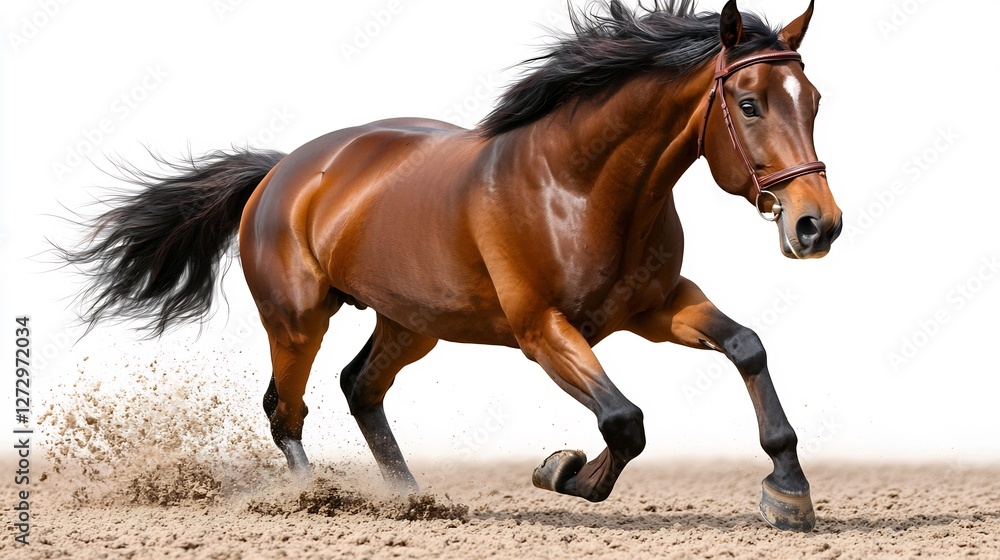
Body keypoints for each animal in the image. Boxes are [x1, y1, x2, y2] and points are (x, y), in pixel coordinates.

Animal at [62, 0, 841, 532]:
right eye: (748, 104)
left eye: (813, 101)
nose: (817, 225)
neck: (583, 188)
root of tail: (282, 171)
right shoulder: (541, 331)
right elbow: (624, 421)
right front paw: (561, 471)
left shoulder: (656, 307)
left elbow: (747, 346)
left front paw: (788, 492)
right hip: (296, 319)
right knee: (286, 409)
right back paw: (317, 496)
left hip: (412, 323)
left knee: (359, 387)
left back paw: (413, 501)